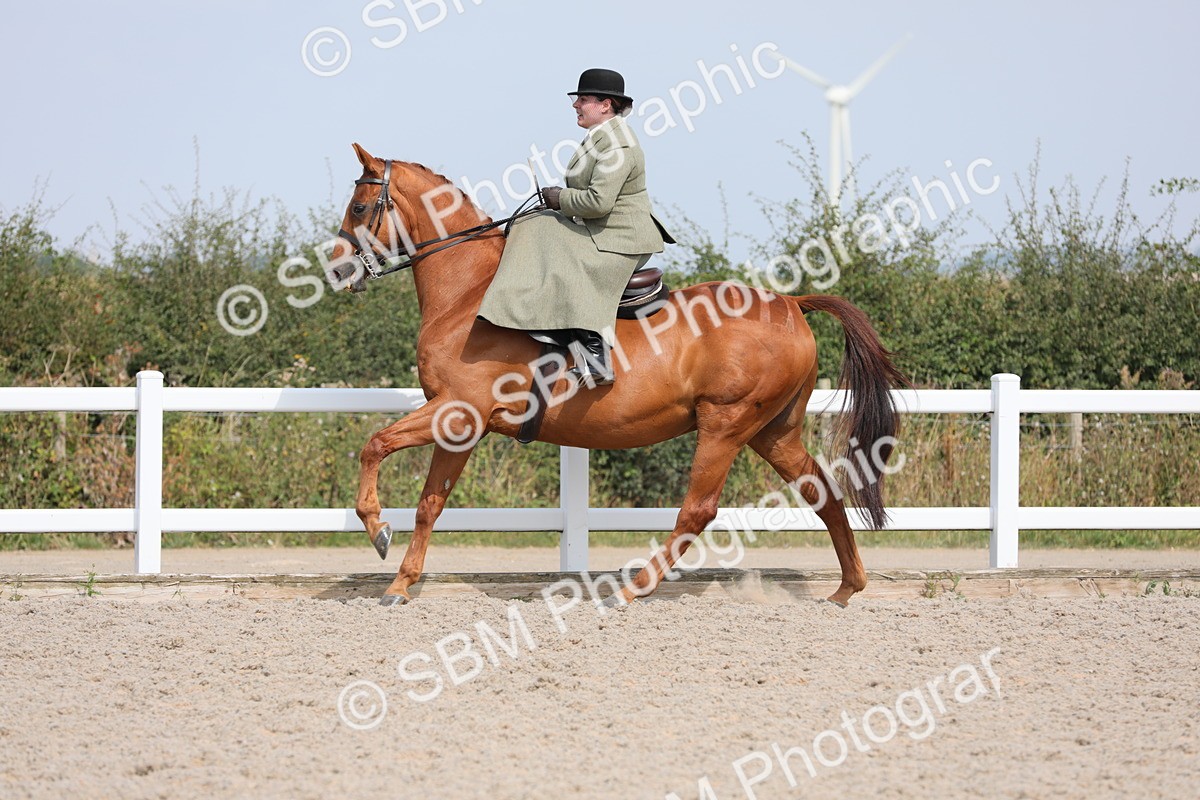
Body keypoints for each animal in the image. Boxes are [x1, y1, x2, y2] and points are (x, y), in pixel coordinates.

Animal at [331, 143, 909, 607]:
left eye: (359, 207)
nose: (337, 271)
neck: (468, 296)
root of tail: (791, 303)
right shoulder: (461, 426)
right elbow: (429, 503)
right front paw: (400, 584)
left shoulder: (458, 411)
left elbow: (375, 445)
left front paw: (378, 530)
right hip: (773, 431)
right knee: (824, 492)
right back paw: (846, 589)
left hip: (726, 424)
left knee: (698, 511)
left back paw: (632, 589)